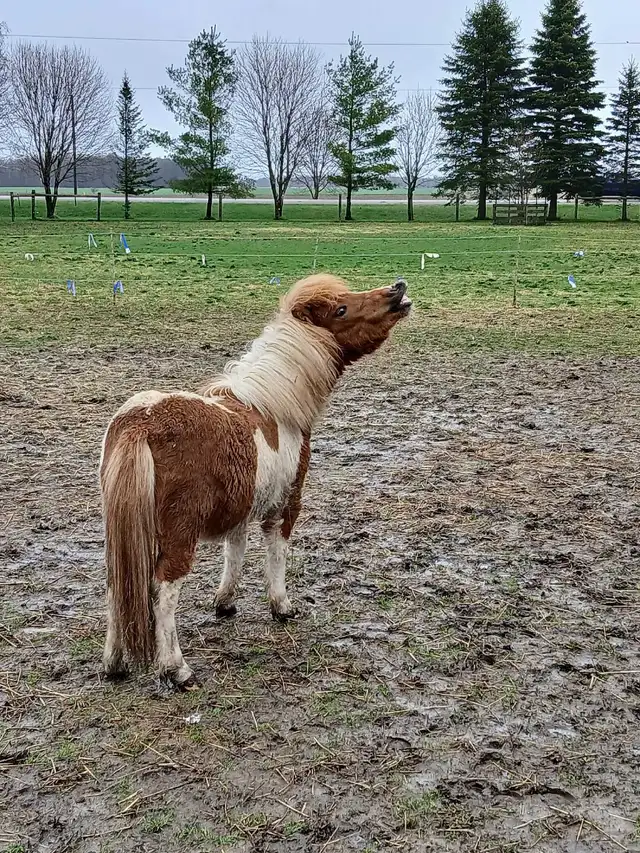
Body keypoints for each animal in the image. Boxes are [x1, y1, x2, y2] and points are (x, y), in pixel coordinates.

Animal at [100, 273, 412, 689]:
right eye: (341, 309)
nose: (397, 289)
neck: (274, 407)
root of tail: (141, 422)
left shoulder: (239, 508)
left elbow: (235, 553)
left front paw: (225, 603)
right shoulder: (285, 506)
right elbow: (275, 555)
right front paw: (282, 607)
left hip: (125, 533)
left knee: (119, 585)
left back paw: (114, 664)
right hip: (178, 536)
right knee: (164, 590)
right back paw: (176, 669)